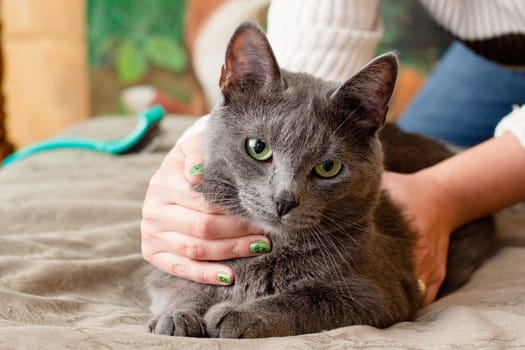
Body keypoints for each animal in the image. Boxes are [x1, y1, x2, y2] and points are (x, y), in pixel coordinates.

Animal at [146, 22, 496, 340]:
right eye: (258, 148)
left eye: (328, 167)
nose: (284, 199)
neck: (268, 251)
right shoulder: (176, 264)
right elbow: (181, 282)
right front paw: (177, 315)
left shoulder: (378, 294)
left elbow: (305, 301)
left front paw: (240, 315)